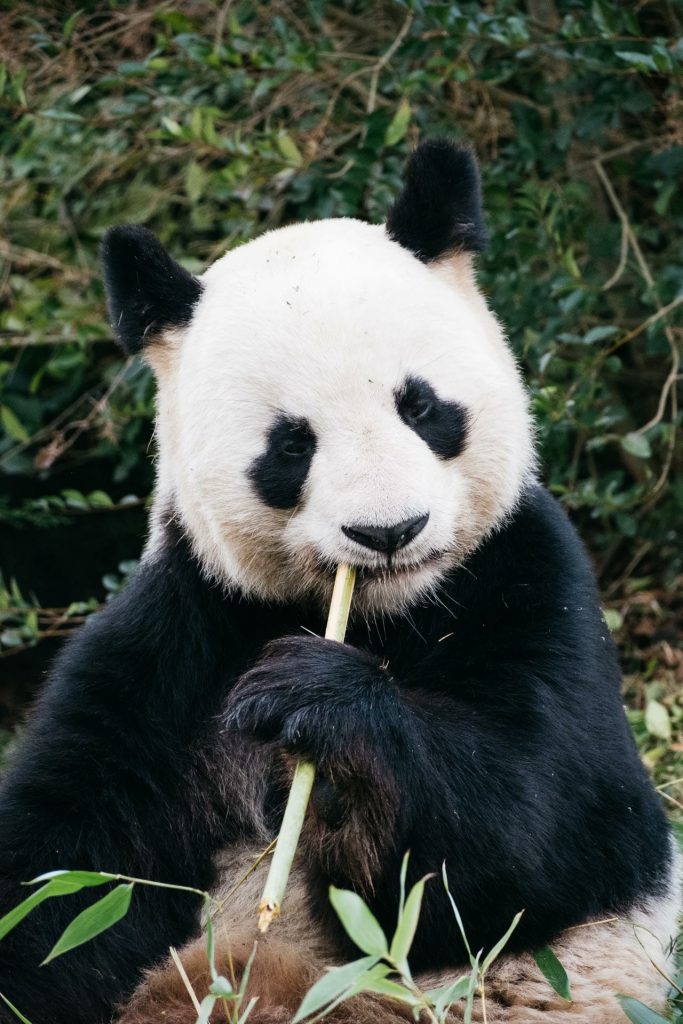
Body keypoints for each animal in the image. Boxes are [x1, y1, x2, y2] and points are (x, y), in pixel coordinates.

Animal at [0, 140, 678, 1024]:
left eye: (421, 407)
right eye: (291, 445)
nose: (387, 532)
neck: (384, 617)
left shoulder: (529, 580)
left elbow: (547, 832)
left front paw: (318, 703)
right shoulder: (181, 635)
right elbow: (67, 871)